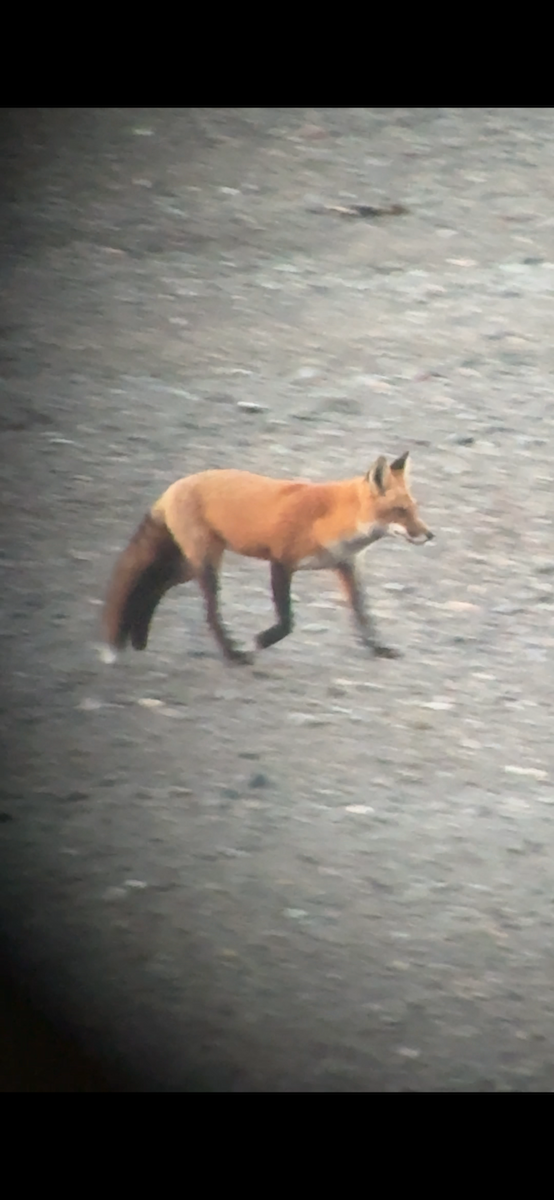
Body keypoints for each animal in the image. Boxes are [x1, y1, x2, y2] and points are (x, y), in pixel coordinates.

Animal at [101, 451, 433, 666]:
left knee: (153, 586)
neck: (334, 519)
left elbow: (363, 615)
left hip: (187, 566)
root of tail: (175, 486)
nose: (429, 535)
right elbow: (287, 622)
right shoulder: (281, 562)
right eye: (400, 511)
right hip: (206, 565)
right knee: (207, 613)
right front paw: (260, 641)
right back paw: (232, 654)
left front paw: (378, 648)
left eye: (414, 508)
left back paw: (138, 639)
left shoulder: (346, 566)